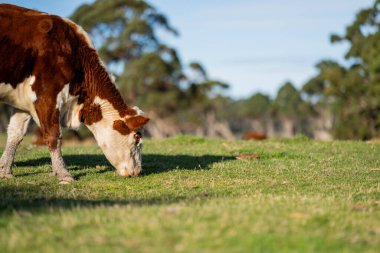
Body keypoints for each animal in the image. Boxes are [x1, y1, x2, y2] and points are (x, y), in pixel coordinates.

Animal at [0, 3, 151, 182]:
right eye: (137, 138)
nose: (138, 171)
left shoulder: (22, 101)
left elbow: (15, 134)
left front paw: (5, 171)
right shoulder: (47, 94)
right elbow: (54, 135)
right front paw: (63, 174)